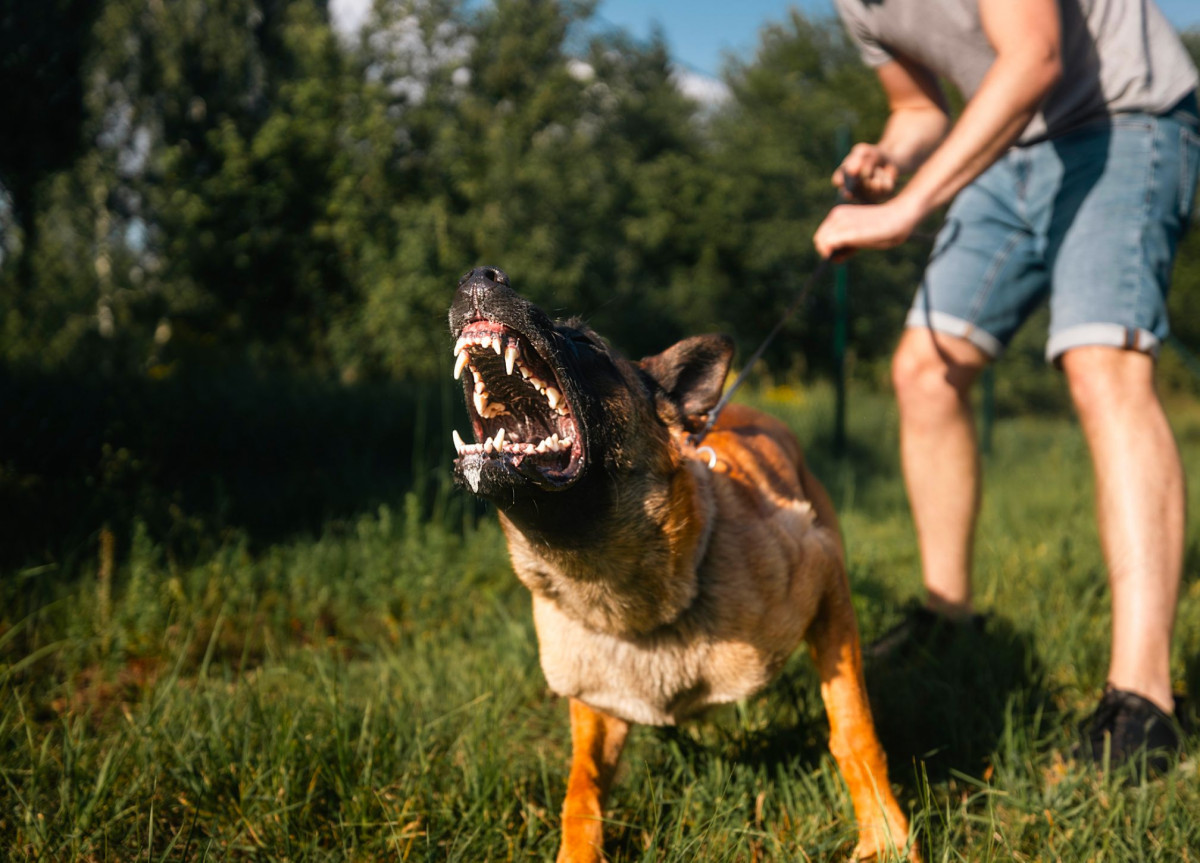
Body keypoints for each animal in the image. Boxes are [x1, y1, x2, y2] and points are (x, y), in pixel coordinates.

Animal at [451, 266, 916, 859]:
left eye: (586, 342)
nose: (480, 275)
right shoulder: (594, 703)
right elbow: (582, 788)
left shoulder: (825, 577)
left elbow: (852, 727)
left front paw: (885, 834)